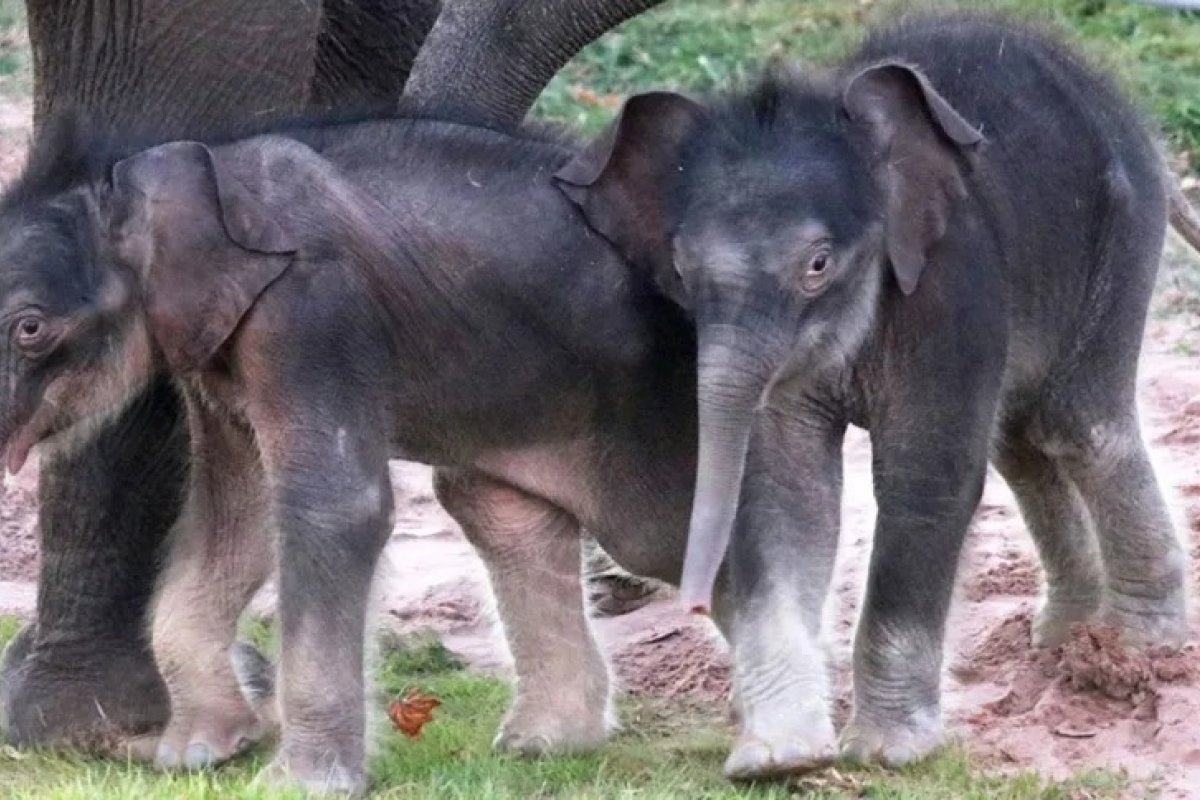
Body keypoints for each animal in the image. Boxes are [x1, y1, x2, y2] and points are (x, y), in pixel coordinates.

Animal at [556, 10, 1195, 777]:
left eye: (818, 264)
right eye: (680, 271)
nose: (685, 603)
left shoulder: (950, 282)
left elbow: (926, 476)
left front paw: (886, 755)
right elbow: (787, 489)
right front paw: (779, 758)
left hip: (1120, 233)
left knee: (1078, 426)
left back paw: (1141, 649)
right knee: (1021, 442)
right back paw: (1063, 640)